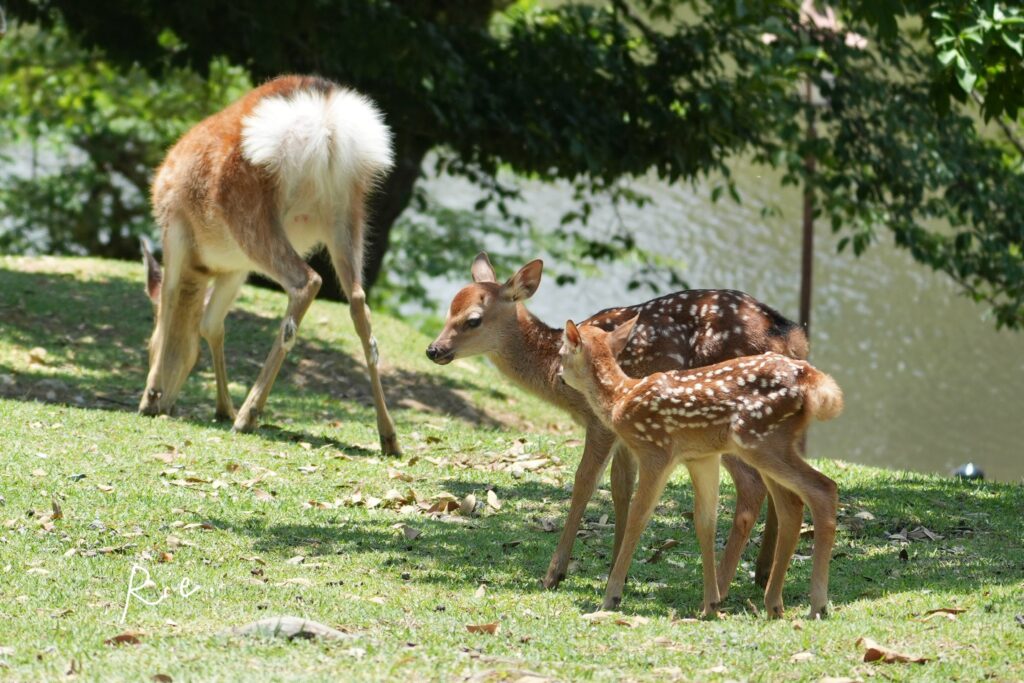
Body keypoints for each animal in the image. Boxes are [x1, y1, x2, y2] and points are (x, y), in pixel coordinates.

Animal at [138, 75, 401, 455]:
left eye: (146, 347)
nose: (159, 404)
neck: (202, 270)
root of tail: (325, 120)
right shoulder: (236, 268)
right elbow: (210, 325)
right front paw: (221, 407)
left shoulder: (176, 233)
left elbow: (174, 306)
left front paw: (152, 396)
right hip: (347, 212)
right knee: (358, 302)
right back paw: (389, 436)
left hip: (248, 209)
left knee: (307, 281)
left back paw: (248, 415)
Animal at [427, 254, 811, 598]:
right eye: (448, 310)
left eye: (473, 320)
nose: (434, 349)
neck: (555, 371)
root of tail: (793, 337)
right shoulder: (625, 434)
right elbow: (621, 489)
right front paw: (616, 572)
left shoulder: (600, 424)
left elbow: (584, 482)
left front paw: (555, 573)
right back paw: (762, 574)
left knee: (755, 488)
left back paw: (725, 585)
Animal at [559, 317, 842, 618]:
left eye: (562, 351)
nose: (558, 375)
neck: (620, 399)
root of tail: (813, 380)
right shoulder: (701, 458)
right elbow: (705, 522)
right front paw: (710, 605)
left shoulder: (655, 450)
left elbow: (639, 516)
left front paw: (611, 597)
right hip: (769, 444)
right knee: (792, 505)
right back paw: (774, 604)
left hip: (759, 440)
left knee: (823, 488)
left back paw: (817, 605)